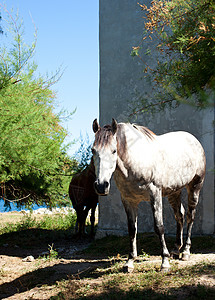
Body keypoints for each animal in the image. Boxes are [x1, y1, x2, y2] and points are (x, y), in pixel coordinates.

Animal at [91, 119, 206, 272]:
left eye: (114, 150)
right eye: (93, 150)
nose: (101, 186)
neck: (136, 160)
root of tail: (194, 140)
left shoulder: (155, 195)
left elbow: (159, 227)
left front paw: (164, 262)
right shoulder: (128, 200)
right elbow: (132, 229)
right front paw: (130, 262)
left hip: (194, 187)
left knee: (190, 216)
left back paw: (186, 252)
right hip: (174, 192)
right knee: (179, 215)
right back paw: (176, 249)